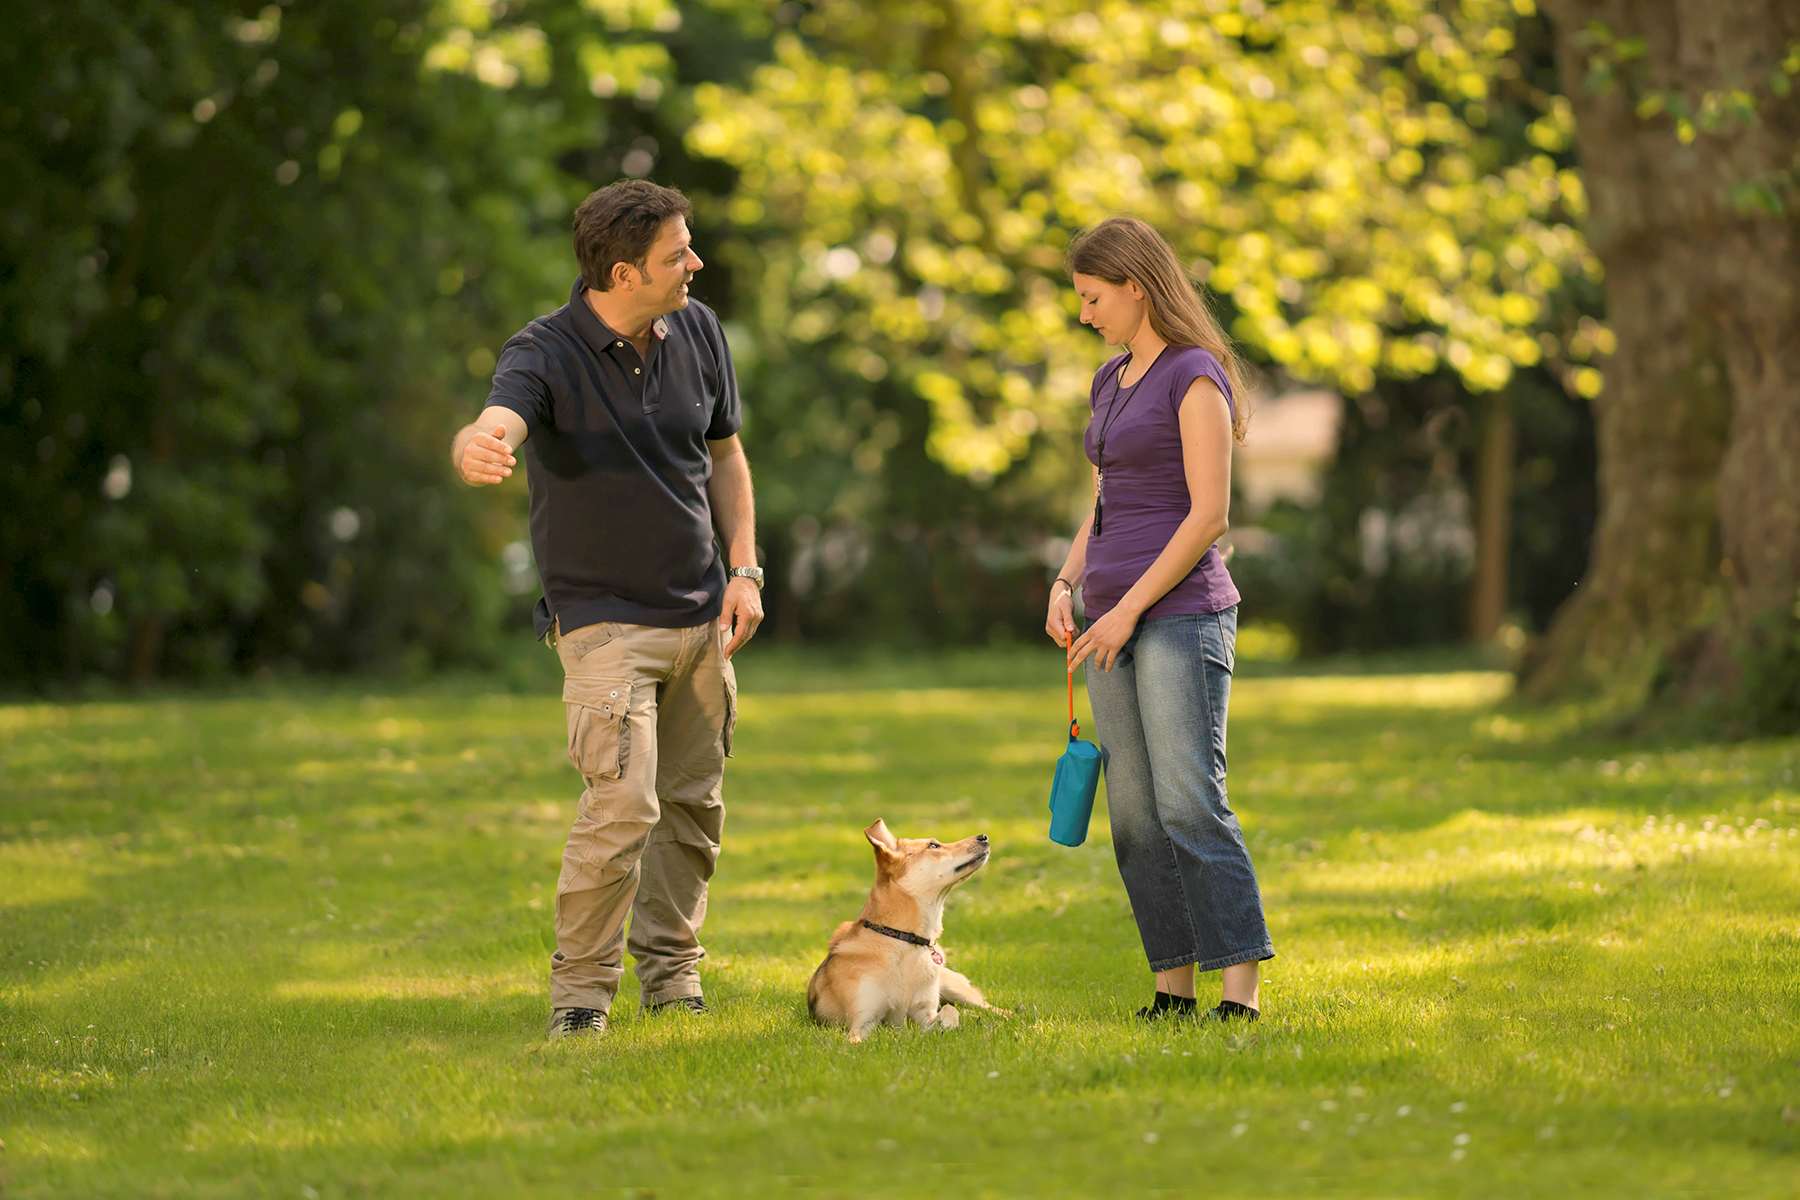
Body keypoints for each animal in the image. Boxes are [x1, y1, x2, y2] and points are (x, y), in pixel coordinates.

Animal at [806, 816, 1008, 1043]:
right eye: (933, 845)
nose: (984, 836)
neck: (904, 941)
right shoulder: (861, 1022)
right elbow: (859, 1039)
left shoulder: (925, 1013)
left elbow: (949, 1011)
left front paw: (948, 1027)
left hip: (954, 988)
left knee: (982, 1006)